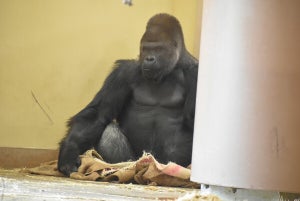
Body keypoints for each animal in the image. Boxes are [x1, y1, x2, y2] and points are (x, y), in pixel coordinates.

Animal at [57, 13, 198, 176]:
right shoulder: (123, 73)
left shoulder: (195, 74)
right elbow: (98, 115)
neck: (173, 67)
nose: (149, 58)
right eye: (145, 49)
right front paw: (68, 152)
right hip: (135, 159)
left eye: (158, 48)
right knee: (110, 133)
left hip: (165, 163)